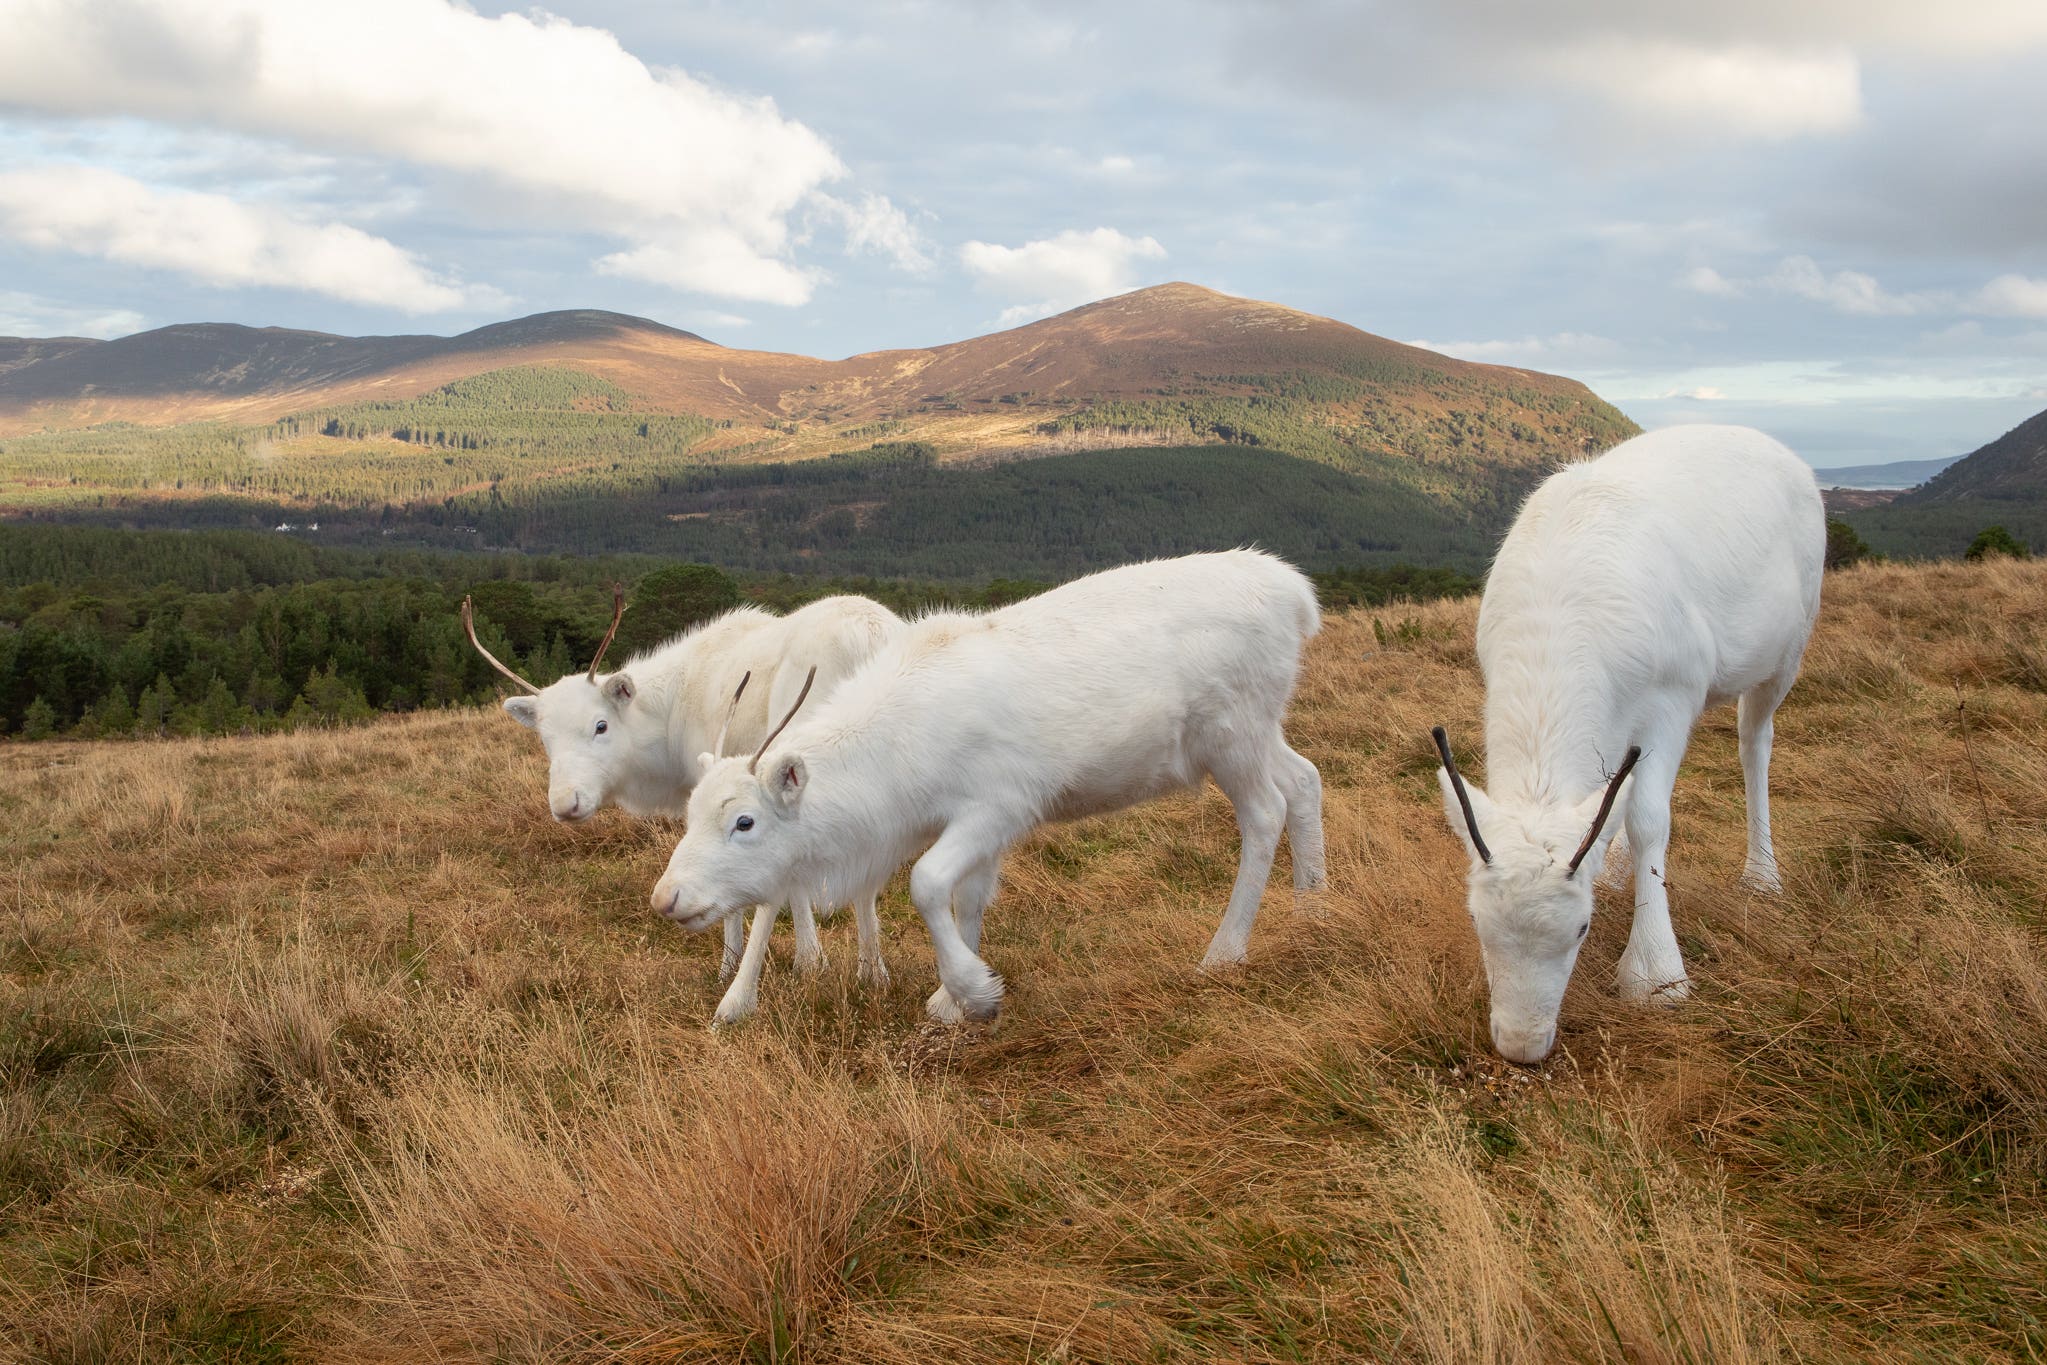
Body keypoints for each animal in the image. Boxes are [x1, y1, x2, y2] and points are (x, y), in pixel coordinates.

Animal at [646, 548, 1334, 1019]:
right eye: (690, 813)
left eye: (745, 821)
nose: (667, 898)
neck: (897, 761)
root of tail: (1296, 593)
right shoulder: (978, 829)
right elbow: (969, 897)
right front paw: (953, 998)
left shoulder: (1000, 806)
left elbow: (927, 884)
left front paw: (973, 994)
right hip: (1257, 731)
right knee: (1305, 779)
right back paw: (1312, 910)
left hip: (1232, 733)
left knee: (1265, 812)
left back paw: (1224, 953)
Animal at [1441, 427, 1825, 1064]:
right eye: (1475, 921)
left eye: (1582, 928)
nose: (1522, 1044)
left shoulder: (1673, 697)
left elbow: (1649, 818)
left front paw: (1655, 975)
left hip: (1789, 649)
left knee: (1755, 741)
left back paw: (1762, 874)